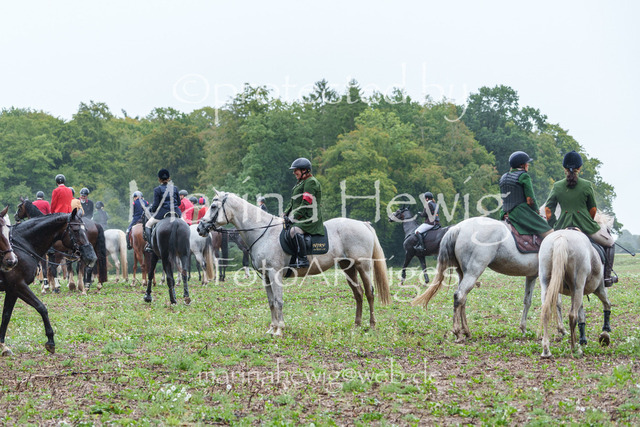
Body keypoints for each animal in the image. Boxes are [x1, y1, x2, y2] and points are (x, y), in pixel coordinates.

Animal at [1, 210, 97, 355]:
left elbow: (6, 316)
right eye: (75, 230)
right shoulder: (18, 286)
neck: (22, 246)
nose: (91, 256)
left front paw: (3, 346)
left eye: (85, 229)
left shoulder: (12, 290)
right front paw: (50, 340)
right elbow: (41, 307)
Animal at [197, 191, 390, 336]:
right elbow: (271, 302)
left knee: (369, 293)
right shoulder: (266, 276)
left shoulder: (275, 273)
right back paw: (357, 325)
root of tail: (363, 224)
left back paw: (372, 325)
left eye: (213, 207)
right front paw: (272, 328)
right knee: (358, 293)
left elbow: (279, 301)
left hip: (363, 266)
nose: (200, 228)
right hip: (348, 267)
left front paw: (279, 330)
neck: (263, 233)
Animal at [411, 216, 564, 343]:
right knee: (459, 296)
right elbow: (556, 301)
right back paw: (458, 332)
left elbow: (527, 301)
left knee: (462, 299)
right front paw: (562, 330)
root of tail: (458, 228)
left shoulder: (531, 276)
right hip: (473, 272)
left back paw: (466, 331)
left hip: (463, 274)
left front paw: (524, 328)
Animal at [538, 218, 613, 358]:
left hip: (547, 284)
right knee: (572, 315)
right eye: (608, 231)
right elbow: (607, 305)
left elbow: (581, 316)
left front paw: (583, 339)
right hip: (578, 286)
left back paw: (546, 350)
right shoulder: (599, 288)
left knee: (546, 312)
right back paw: (574, 349)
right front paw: (605, 333)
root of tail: (561, 238)